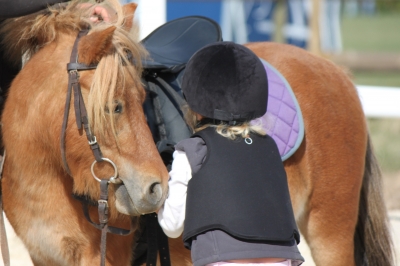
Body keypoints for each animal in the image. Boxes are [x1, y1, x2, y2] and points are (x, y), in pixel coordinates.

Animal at [0, 0, 394, 266]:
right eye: (115, 106)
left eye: (141, 99)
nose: (157, 188)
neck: (47, 174)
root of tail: (335, 72)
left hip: (329, 233)